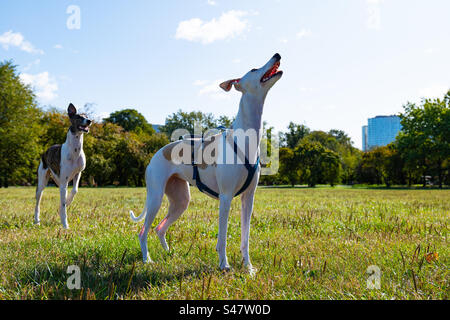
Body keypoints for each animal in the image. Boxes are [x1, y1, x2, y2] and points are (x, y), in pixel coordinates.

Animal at [130, 53, 284, 274]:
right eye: (254, 69)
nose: (277, 54)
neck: (245, 138)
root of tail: (158, 152)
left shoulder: (248, 198)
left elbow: (245, 238)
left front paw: (248, 267)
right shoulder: (226, 198)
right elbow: (223, 238)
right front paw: (224, 265)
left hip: (181, 200)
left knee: (160, 228)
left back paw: (169, 253)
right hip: (155, 198)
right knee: (143, 231)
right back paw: (147, 260)